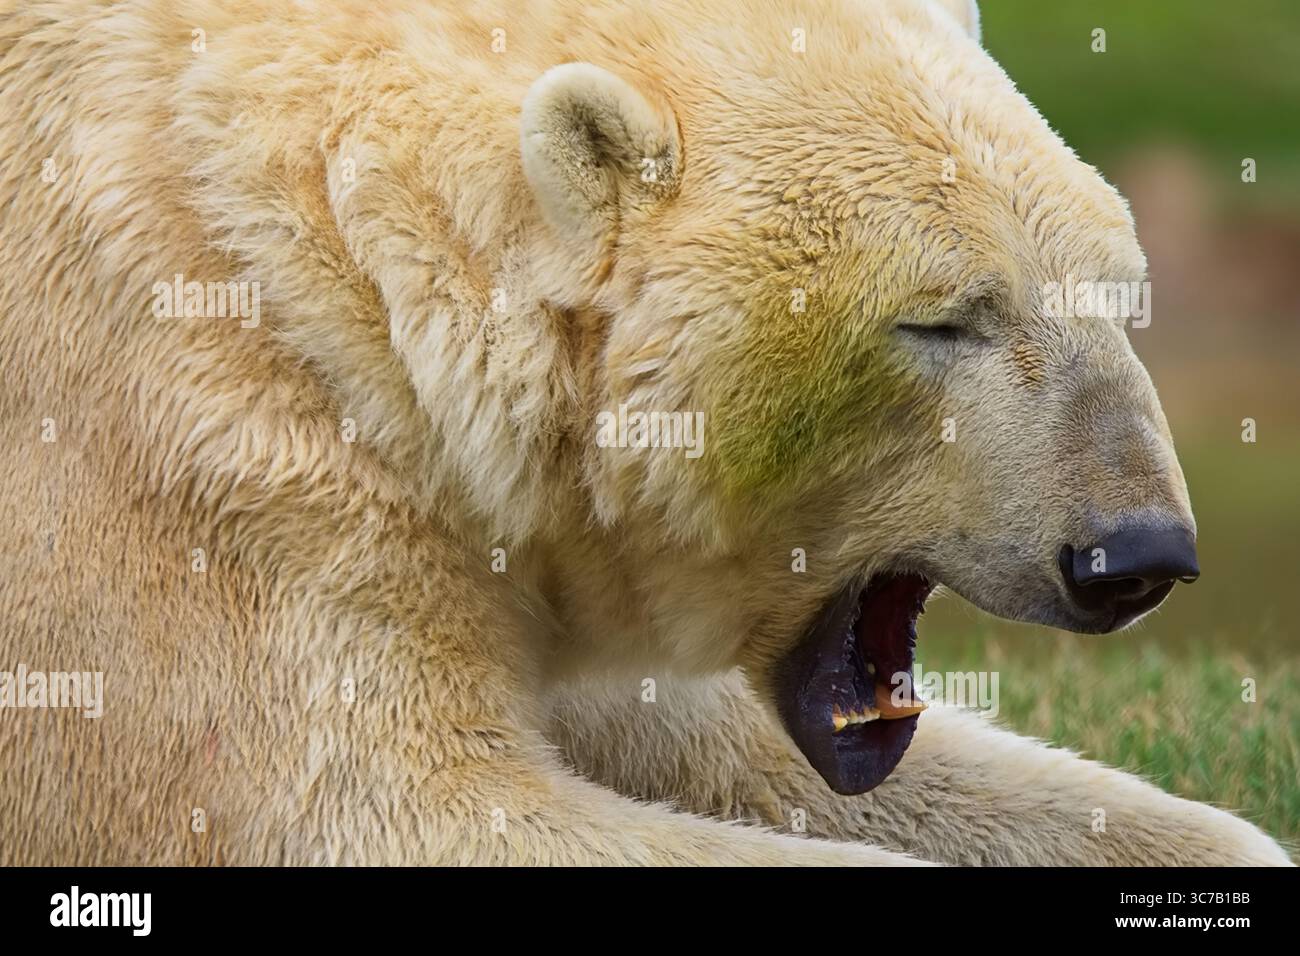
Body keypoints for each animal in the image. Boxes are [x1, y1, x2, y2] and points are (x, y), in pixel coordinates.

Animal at [0, 0, 1289, 865]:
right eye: (940, 318)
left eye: (1117, 290)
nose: (1133, 552)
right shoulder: (221, 458)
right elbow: (381, 806)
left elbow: (688, 731)